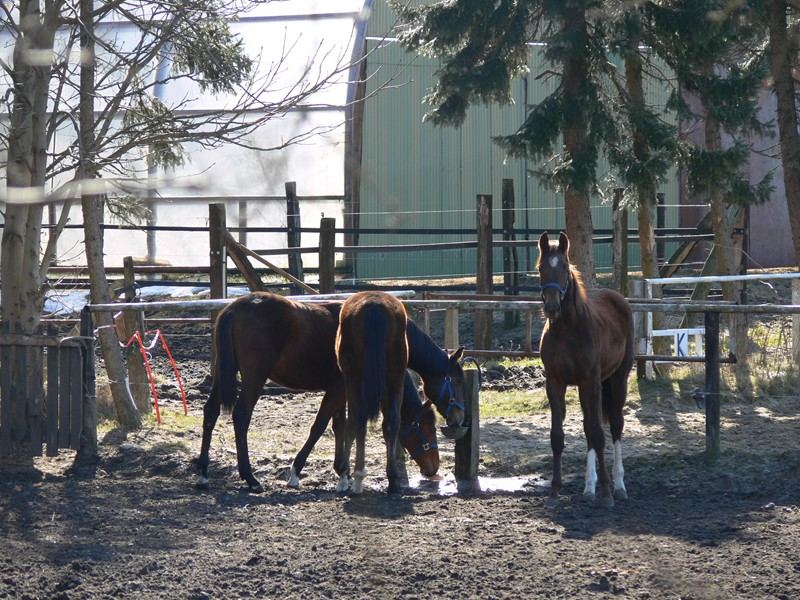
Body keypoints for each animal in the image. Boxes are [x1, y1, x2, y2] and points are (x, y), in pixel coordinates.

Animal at [334, 290, 410, 492]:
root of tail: (374, 306)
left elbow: (351, 422)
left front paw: (344, 474)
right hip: (395, 377)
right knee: (393, 421)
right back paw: (392, 480)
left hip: (354, 378)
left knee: (357, 418)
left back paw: (357, 476)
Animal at [536, 231, 632, 506]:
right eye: (541, 268)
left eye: (564, 266)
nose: (552, 307)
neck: (567, 331)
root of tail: (617, 298)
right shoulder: (555, 383)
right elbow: (558, 436)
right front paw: (555, 490)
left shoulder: (591, 381)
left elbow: (599, 434)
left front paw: (607, 492)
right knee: (589, 426)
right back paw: (589, 487)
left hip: (618, 378)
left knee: (615, 425)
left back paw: (619, 485)